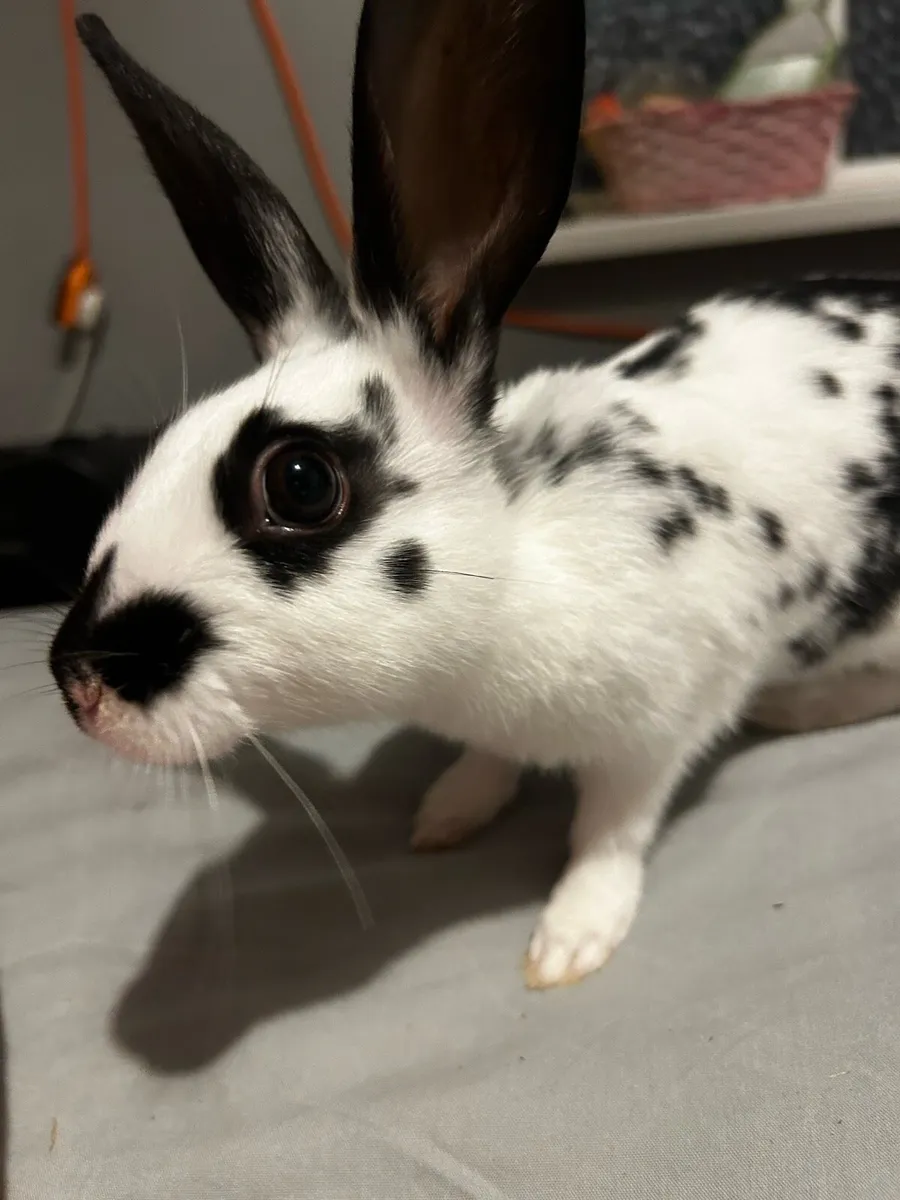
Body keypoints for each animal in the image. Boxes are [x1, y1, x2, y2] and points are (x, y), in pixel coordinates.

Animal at [51, 2, 900, 990]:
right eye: (161, 447)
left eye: (299, 482)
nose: (77, 684)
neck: (512, 572)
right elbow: (488, 766)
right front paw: (448, 812)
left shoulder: (665, 726)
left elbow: (610, 830)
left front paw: (570, 940)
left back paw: (797, 707)